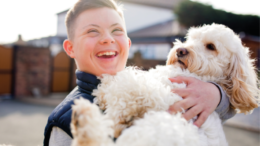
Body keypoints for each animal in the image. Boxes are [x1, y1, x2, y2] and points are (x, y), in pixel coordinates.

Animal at [70, 24, 258, 146]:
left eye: (211, 46)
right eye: (190, 39)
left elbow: (126, 86)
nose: (181, 50)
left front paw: (106, 96)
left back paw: (84, 118)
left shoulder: (160, 95)